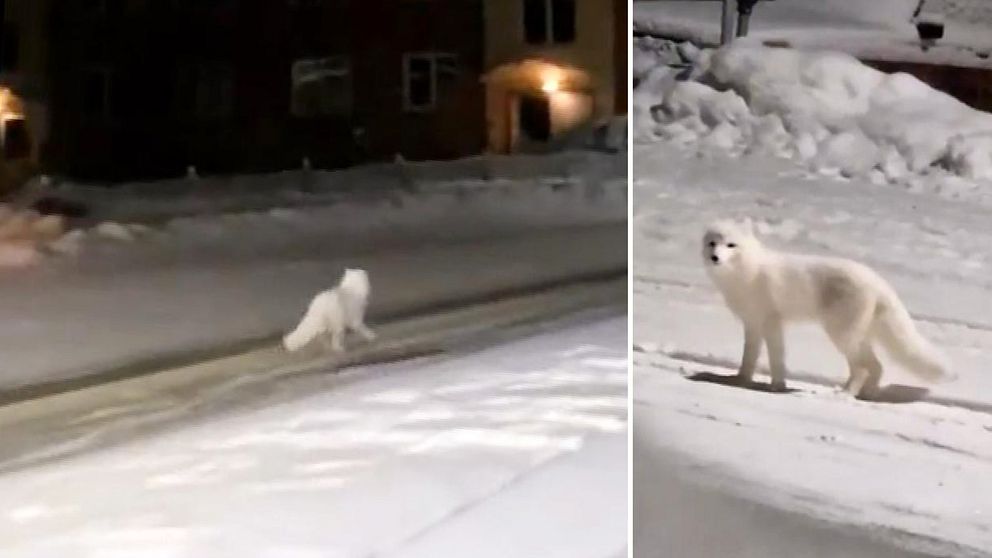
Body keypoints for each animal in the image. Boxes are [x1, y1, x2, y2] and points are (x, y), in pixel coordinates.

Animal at [700, 219, 948, 398]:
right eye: (713, 243)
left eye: (731, 245)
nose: (715, 257)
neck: (746, 273)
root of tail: (877, 280)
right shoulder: (752, 324)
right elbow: (749, 358)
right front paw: (740, 380)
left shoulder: (772, 323)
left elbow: (776, 359)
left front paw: (777, 386)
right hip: (856, 337)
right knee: (876, 366)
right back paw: (864, 394)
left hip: (841, 335)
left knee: (863, 368)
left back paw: (845, 394)